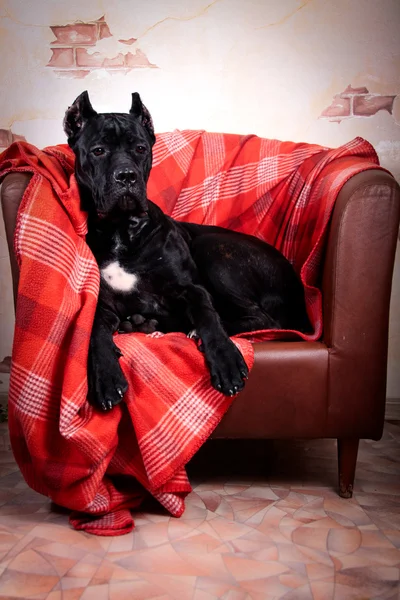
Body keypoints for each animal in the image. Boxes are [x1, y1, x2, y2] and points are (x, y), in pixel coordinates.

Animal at [63, 91, 310, 412]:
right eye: (98, 151)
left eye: (140, 148)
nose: (127, 176)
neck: (121, 231)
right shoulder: (101, 302)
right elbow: (93, 332)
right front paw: (106, 375)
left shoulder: (191, 288)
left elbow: (208, 317)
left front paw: (225, 359)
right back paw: (145, 323)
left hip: (212, 249)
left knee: (261, 319)